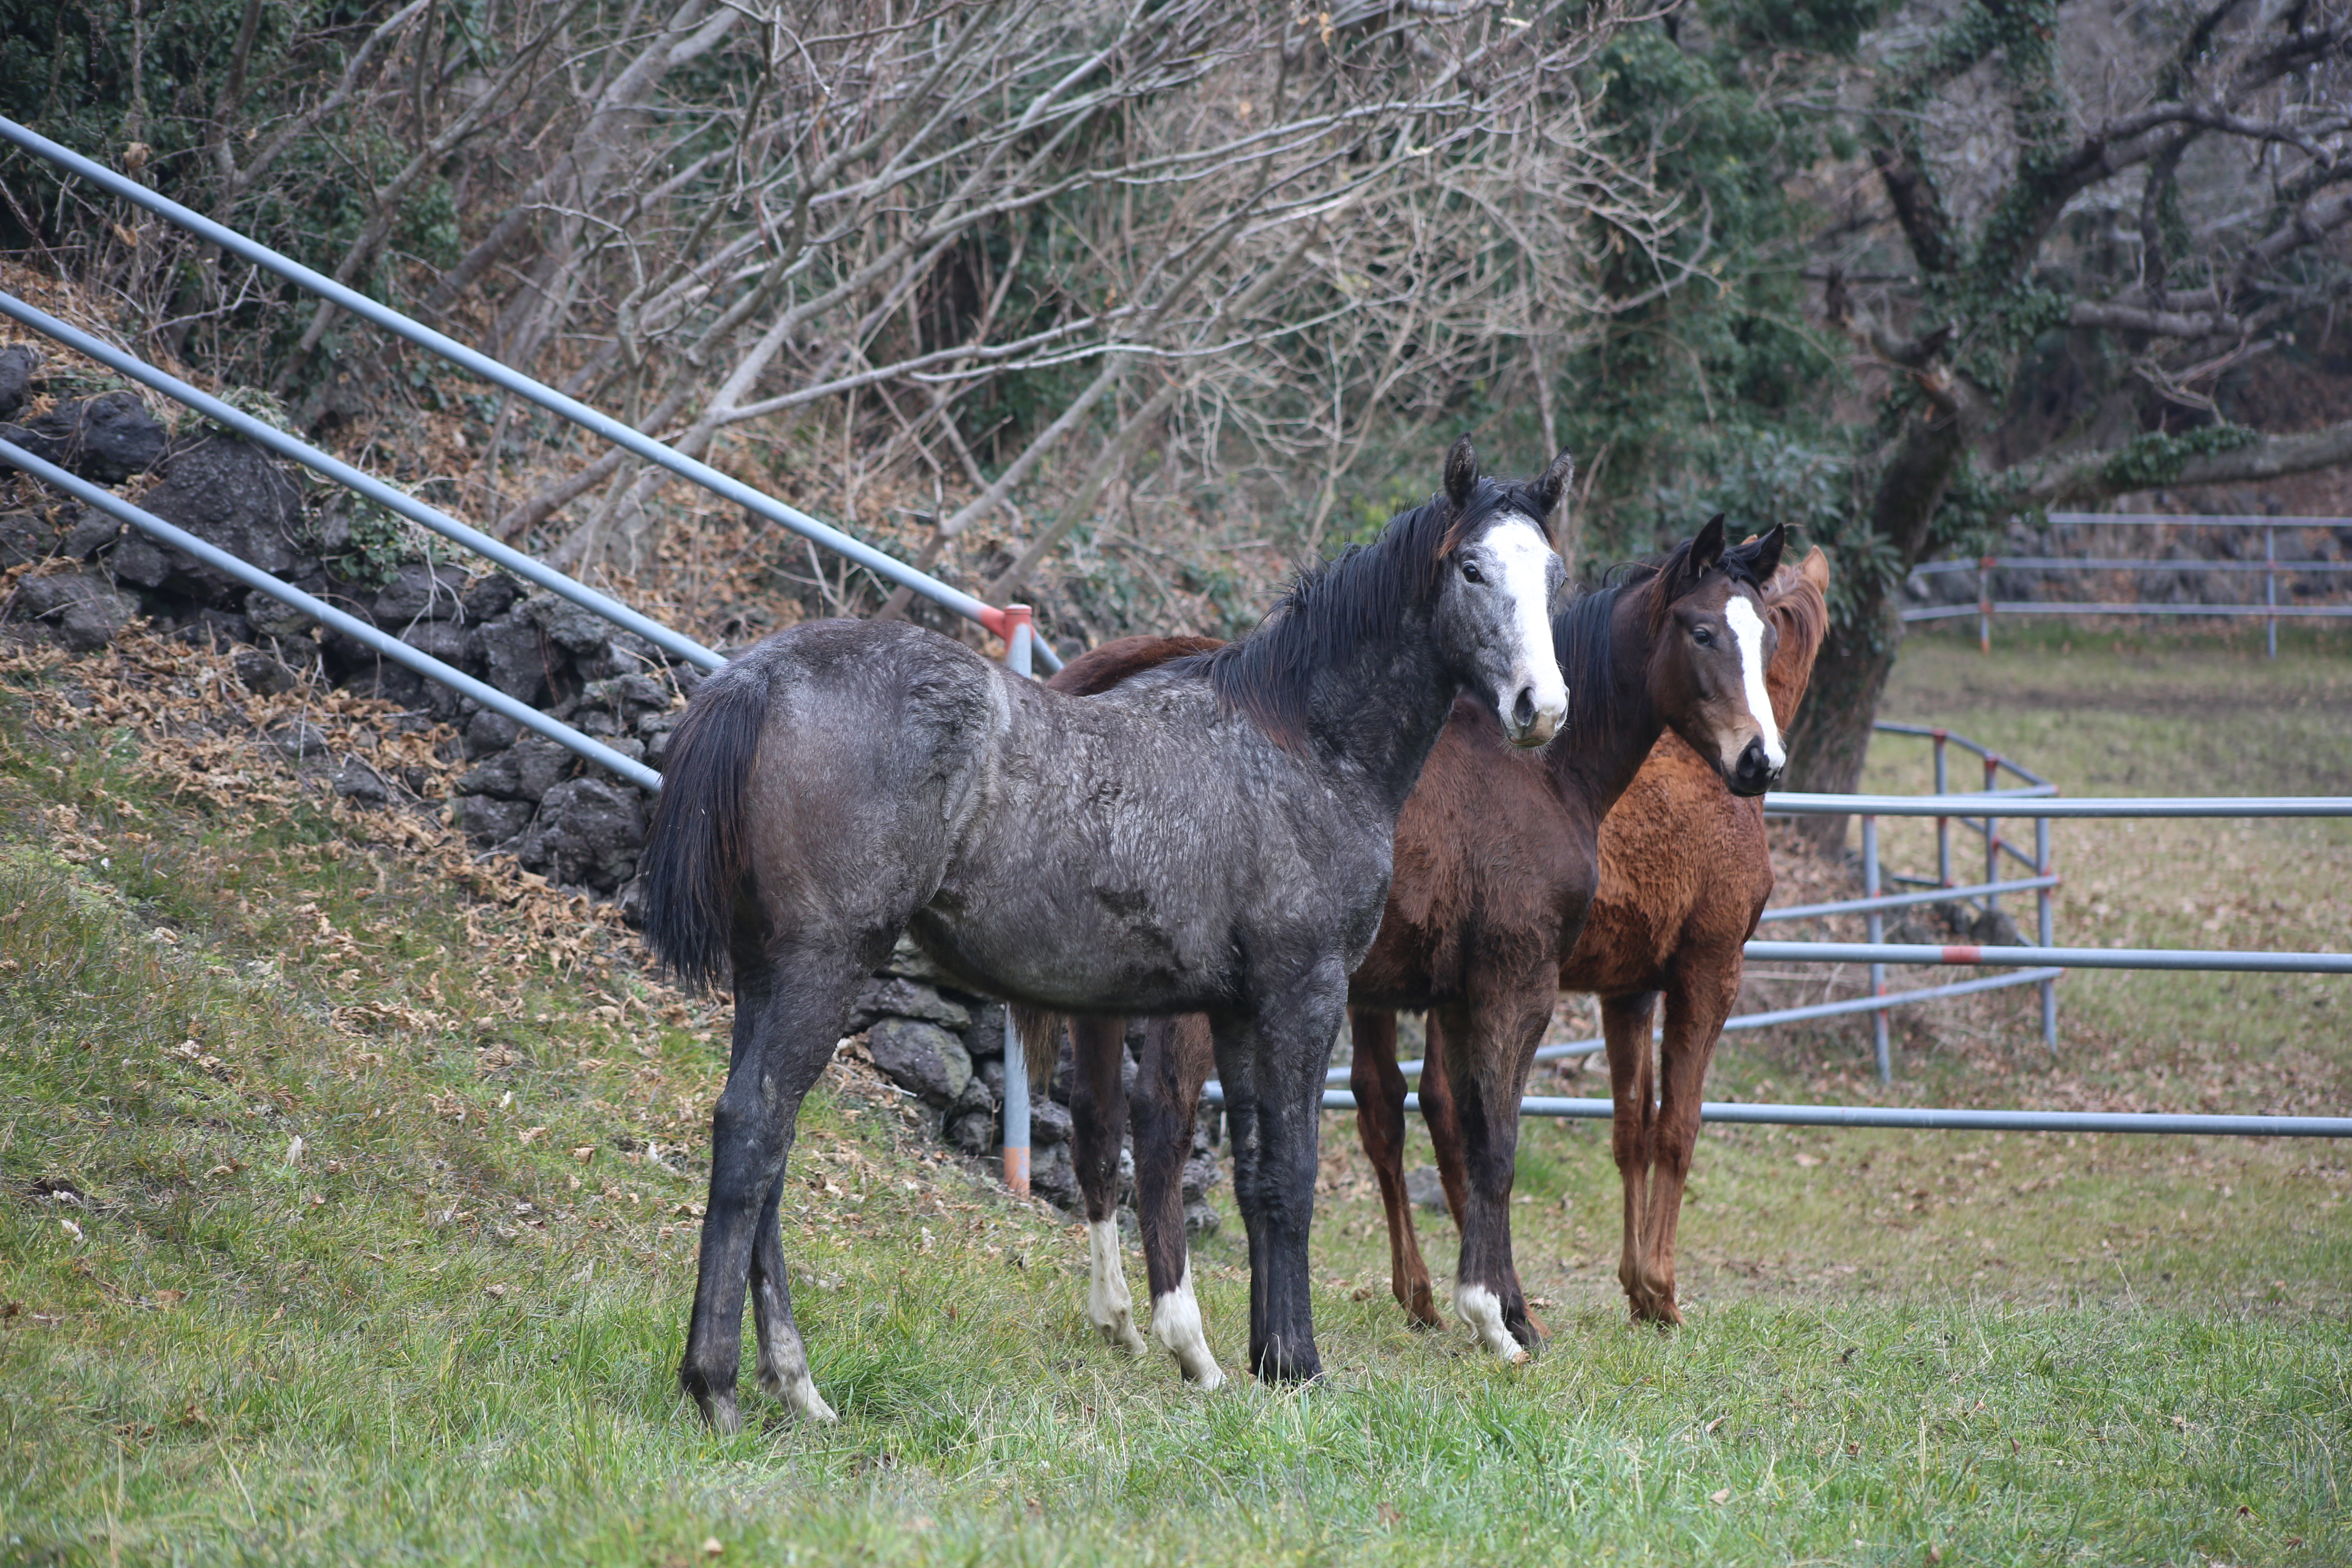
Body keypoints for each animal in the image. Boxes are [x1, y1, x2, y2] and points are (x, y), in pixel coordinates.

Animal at [635, 435, 1571, 1429]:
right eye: (1472, 569)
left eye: (1552, 573)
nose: (1540, 708)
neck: (1303, 746)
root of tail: (761, 675)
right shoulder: (1303, 995)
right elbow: (1295, 1176)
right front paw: (1303, 1367)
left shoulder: (1239, 1011)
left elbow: (1255, 1179)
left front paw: (1269, 1362)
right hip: (824, 963)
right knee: (754, 1130)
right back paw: (717, 1387)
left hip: (768, 973)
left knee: (765, 1147)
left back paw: (798, 1386)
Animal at [1039, 522, 1787, 1382]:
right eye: (1701, 632)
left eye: (1767, 637)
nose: (1761, 760)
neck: (1538, 773)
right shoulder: (1522, 985)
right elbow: (1499, 1144)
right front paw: (1501, 1319)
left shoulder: (1459, 999)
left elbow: (1460, 1133)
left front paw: (1500, 1310)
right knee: (1160, 1119)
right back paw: (1187, 1340)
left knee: (1096, 1128)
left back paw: (1119, 1320)